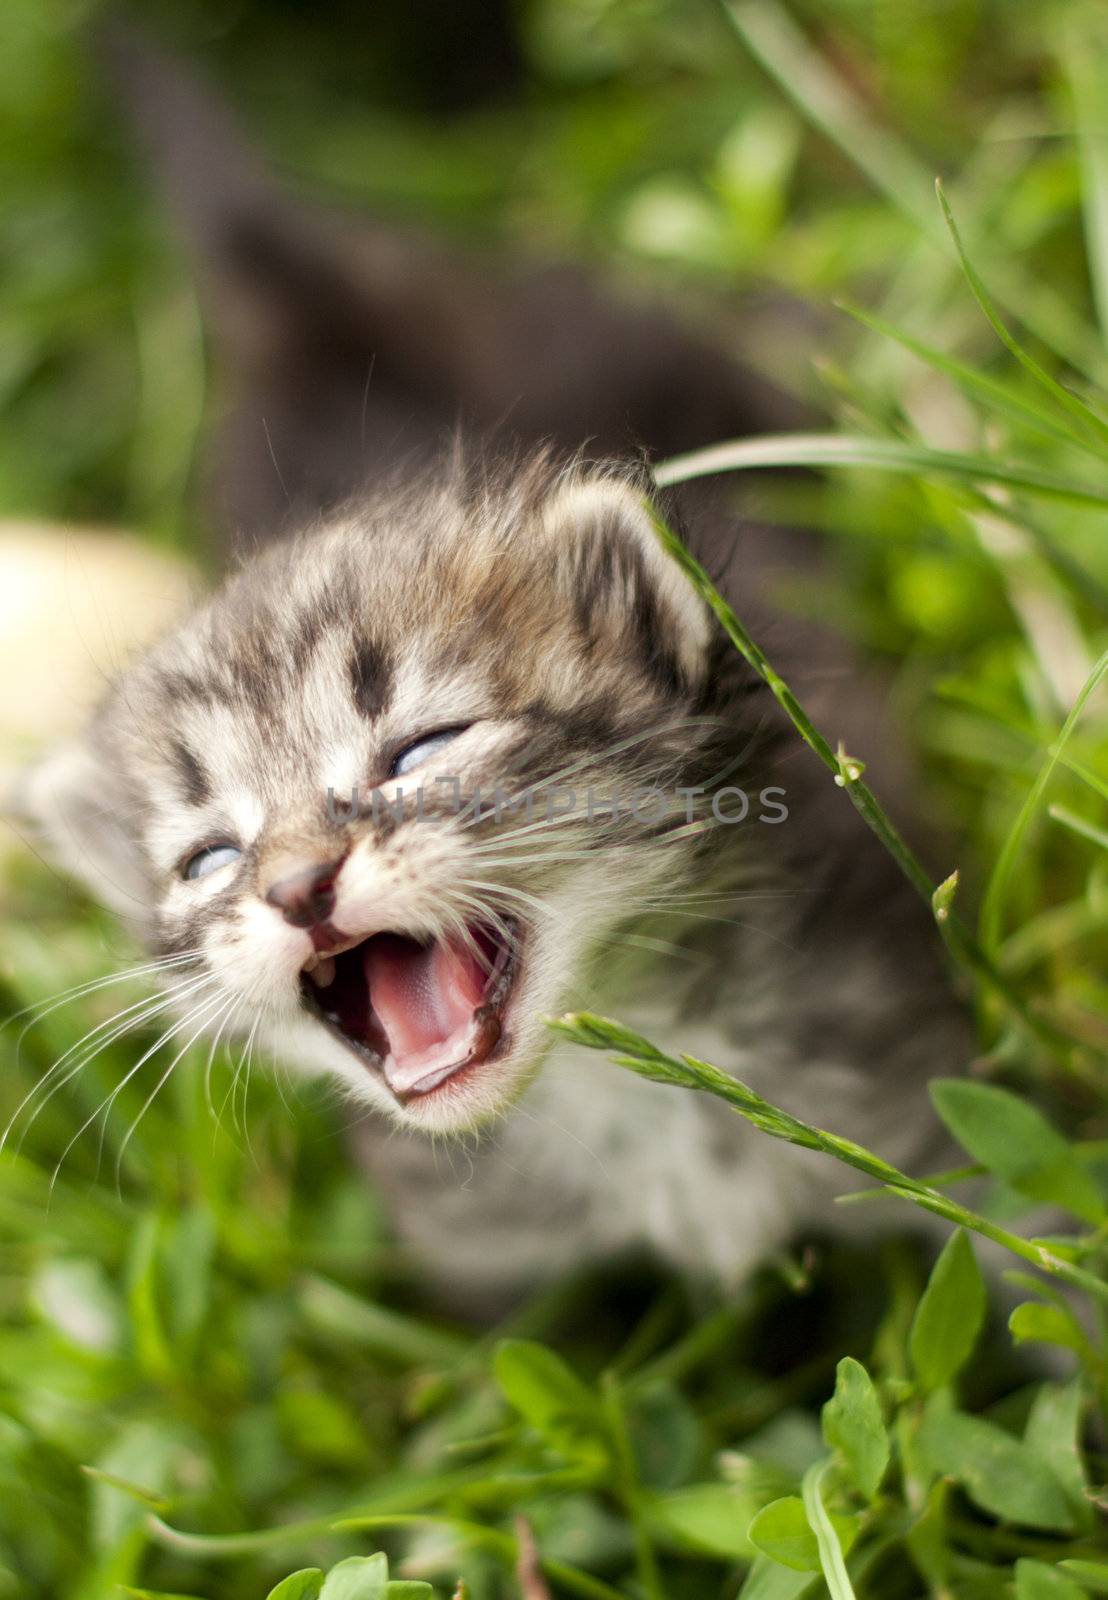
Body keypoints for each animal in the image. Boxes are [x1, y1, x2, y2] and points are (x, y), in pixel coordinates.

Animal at [19, 34, 967, 1299]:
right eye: (207, 858)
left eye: (418, 748)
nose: (296, 888)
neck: (619, 1073)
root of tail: (308, 289)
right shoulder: (481, 1259)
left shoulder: (927, 1093)